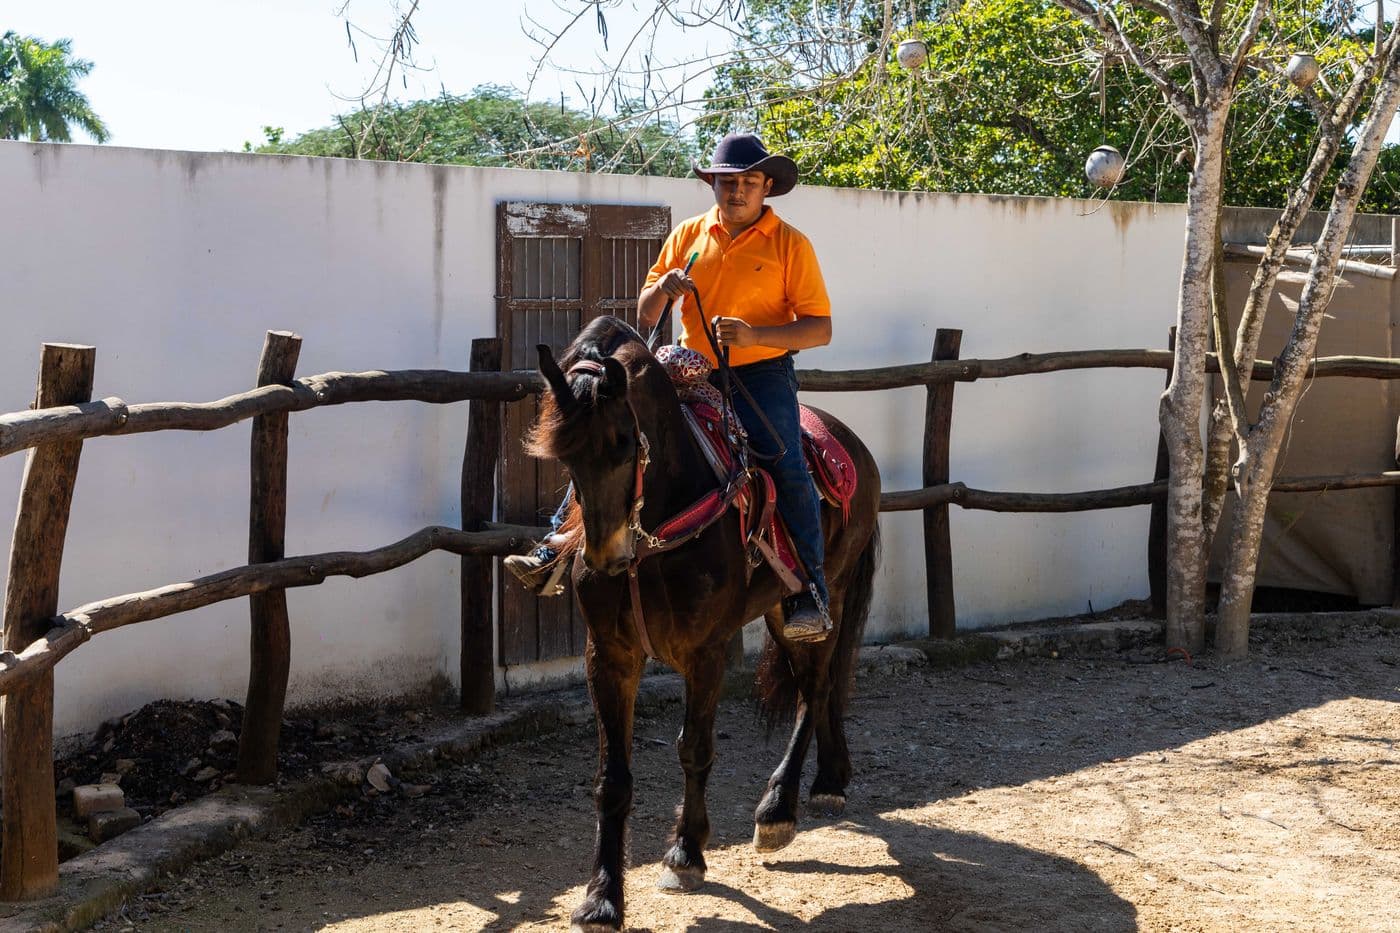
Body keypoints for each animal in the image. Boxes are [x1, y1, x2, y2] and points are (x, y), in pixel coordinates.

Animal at [526, 315, 881, 933]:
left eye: (623, 444)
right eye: (564, 457)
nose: (606, 556)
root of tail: (851, 444)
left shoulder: (707, 652)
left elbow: (694, 748)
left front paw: (686, 853)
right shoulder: (609, 655)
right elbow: (611, 778)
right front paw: (602, 897)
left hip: (825, 598)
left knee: (816, 687)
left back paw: (779, 810)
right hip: (779, 609)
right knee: (819, 686)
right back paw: (831, 780)